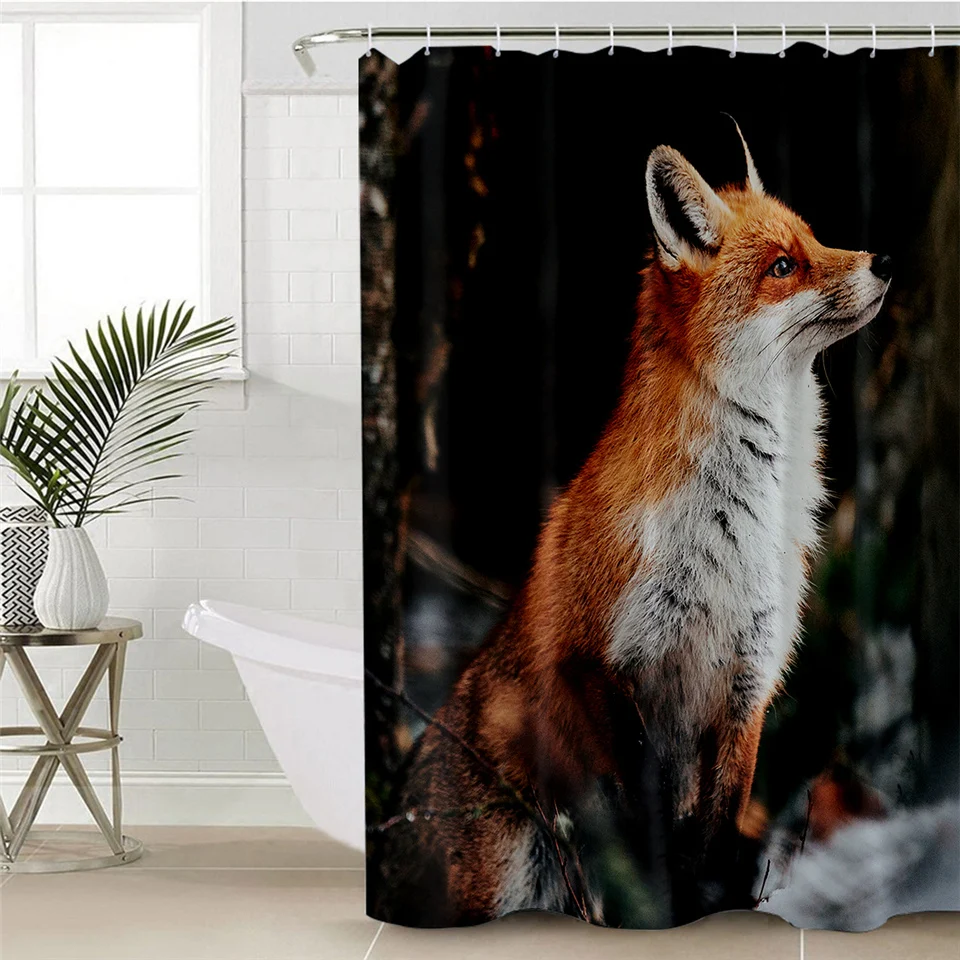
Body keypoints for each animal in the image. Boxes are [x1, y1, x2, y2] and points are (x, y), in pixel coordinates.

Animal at [374, 125, 893, 928]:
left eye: (813, 239)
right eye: (783, 266)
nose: (884, 261)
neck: (732, 527)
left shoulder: (749, 682)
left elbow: (712, 838)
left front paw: (704, 908)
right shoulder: (600, 663)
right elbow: (644, 829)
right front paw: (661, 907)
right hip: (508, 865)